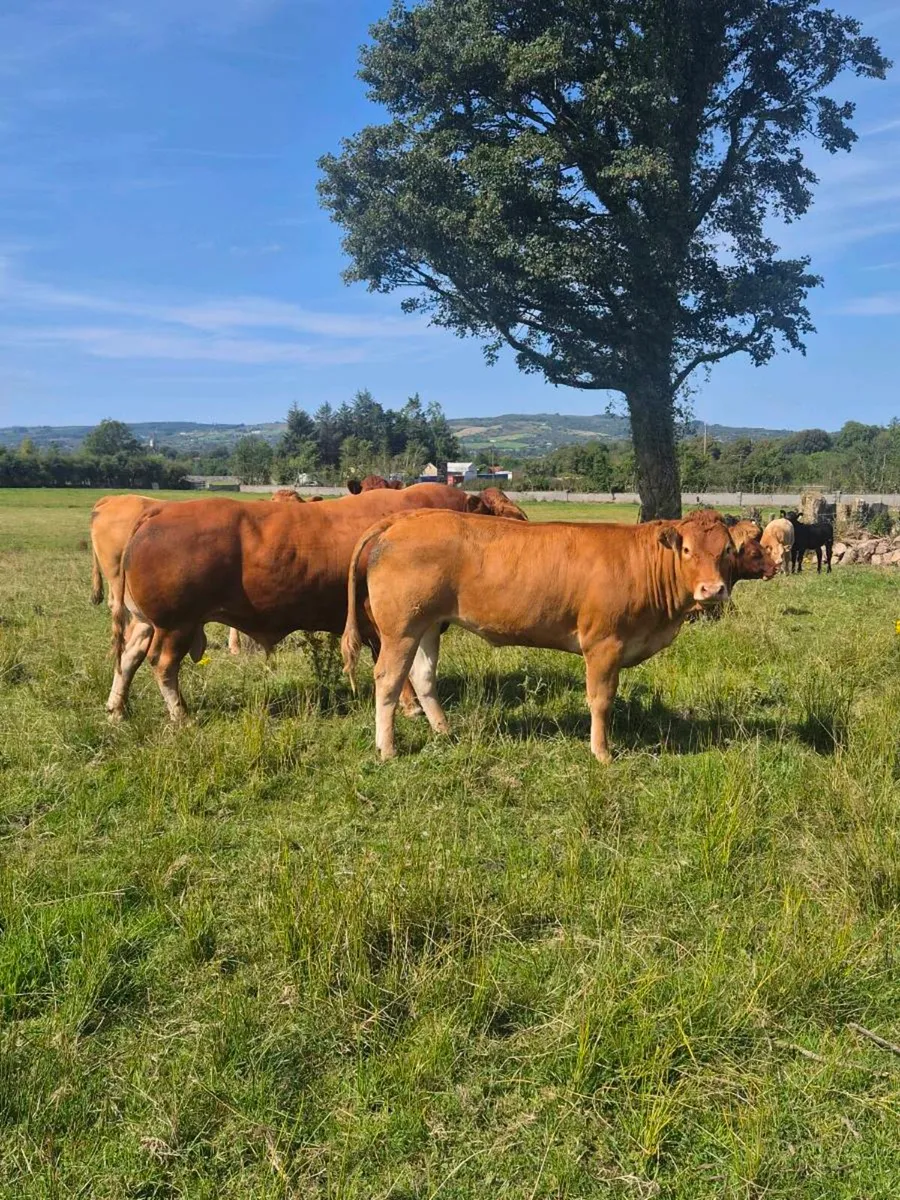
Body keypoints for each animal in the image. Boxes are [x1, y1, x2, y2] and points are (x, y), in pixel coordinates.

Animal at [107, 484, 527, 722]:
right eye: (506, 515)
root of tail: (159, 510)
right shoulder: (387, 626)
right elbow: (397, 669)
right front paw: (411, 708)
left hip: (148, 621)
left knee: (128, 657)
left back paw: (116, 711)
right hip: (175, 624)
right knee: (162, 665)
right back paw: (181, 717)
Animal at [342, 509, 775, 763]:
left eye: (726, 551)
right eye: (686, 550)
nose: (712, 590)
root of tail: (404, 518)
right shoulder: (603, 644)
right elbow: (601, 701)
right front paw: (602, 753)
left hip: (429, 624)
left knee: (423, 676)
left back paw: (445, 732)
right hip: (400, 628)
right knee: (387, 680)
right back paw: (387, 748)